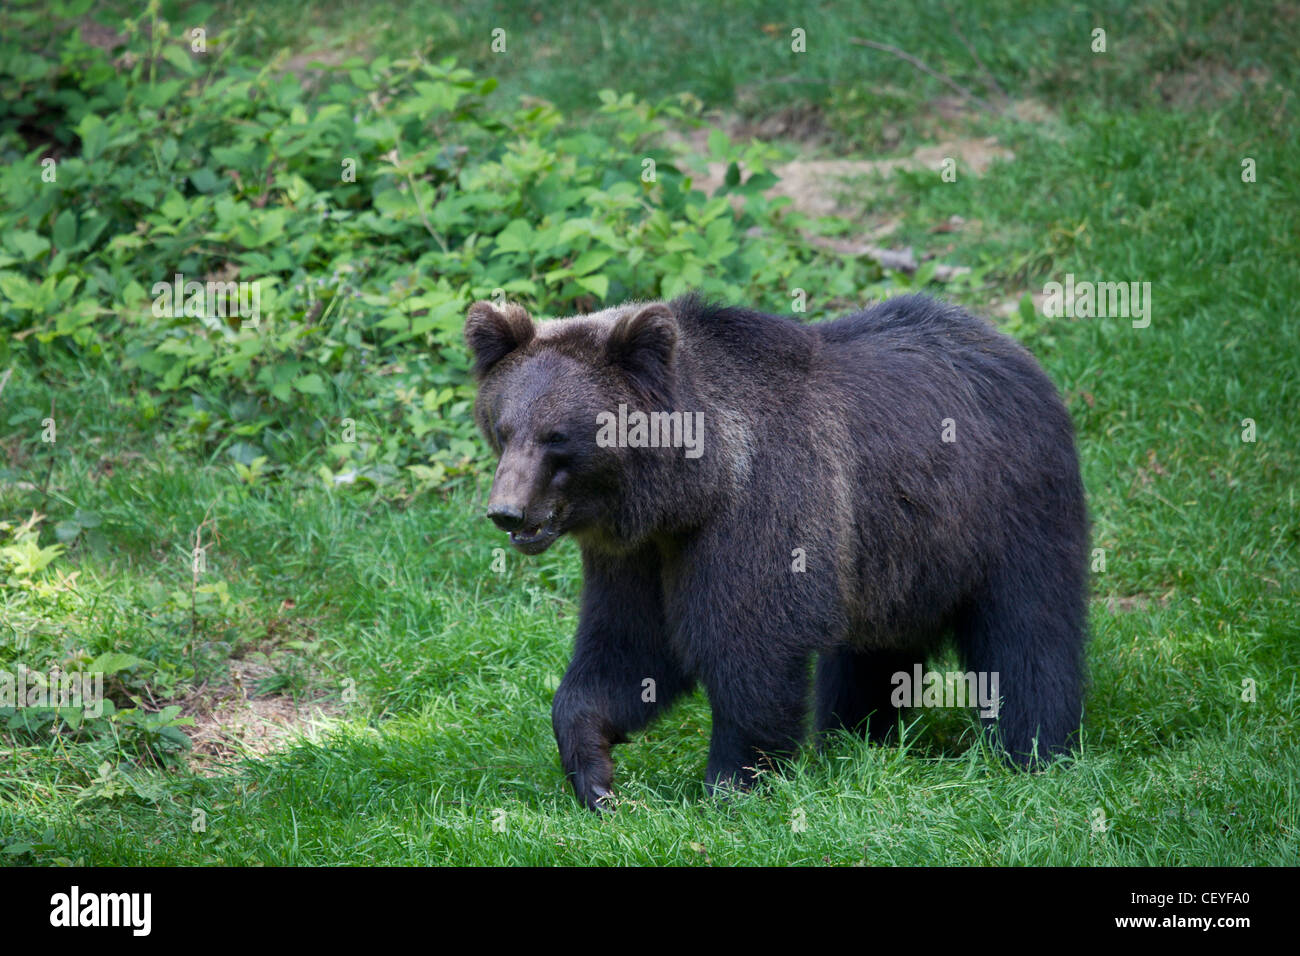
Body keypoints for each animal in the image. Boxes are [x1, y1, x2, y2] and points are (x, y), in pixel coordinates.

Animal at [462, 291, 1092, 806]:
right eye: (504, 427)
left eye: (558, 437)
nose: (508, 512)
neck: (689, 493)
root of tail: (1009, 345)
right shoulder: (637, 556)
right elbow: (626, 650)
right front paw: (596, 775)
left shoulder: (760, 514)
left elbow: (753, 648)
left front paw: (733, 782)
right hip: (892, 554)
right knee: (868, 655)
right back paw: (855, 738)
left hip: (1010, 508)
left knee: (1029, 632)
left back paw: (1031, 751)